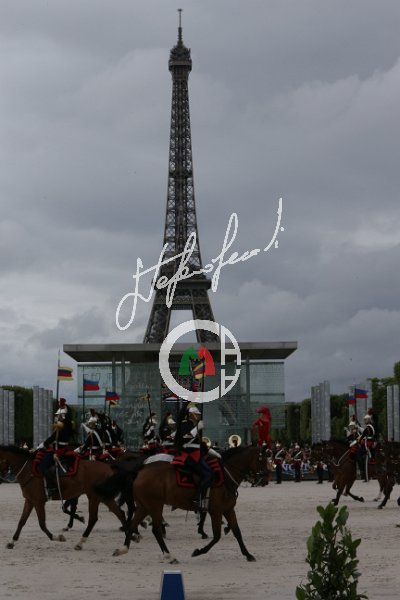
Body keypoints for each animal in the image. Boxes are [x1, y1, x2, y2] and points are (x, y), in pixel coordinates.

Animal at [96, 444, 269, 563]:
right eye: (262, 458)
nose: (266, 478)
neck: (225, 475)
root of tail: (140, 469)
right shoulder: (216, 510)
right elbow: (217, 536)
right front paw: (199, 551)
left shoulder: (228, 509)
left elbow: (237, 532)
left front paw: (248, 554)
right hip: (155, 505)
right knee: (155, 530)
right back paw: (169, 555)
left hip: (144, 506)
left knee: (133, 524)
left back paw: (124, 548)